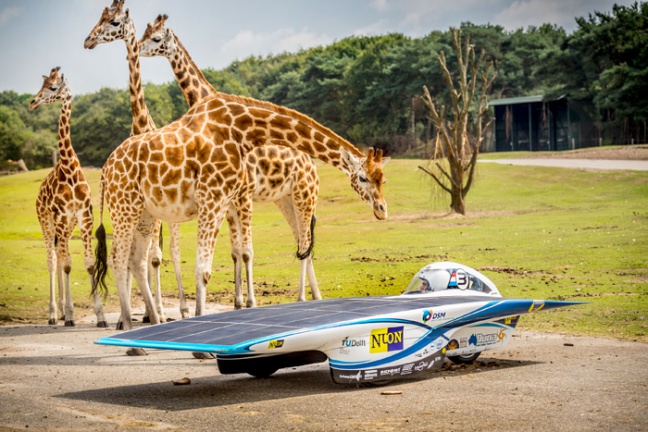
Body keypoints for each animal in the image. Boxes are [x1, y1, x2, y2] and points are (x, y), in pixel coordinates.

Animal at [29, 66, 107, 328]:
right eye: (41, 86)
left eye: (53, 87)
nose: (32, 102)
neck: (69, 170)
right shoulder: (62, 219)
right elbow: (67, 264)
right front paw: (71, 315)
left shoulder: (83, 218)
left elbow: (88, 264)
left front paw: (101, 316)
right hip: (46, 222)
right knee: (53, 260)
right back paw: (55, 314)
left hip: (66, 226)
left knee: (59, 256)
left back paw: (62, 311)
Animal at [139, 14, 326, 310]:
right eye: (145, 34)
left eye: (156, 38)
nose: (137, 48)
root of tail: (310, 163)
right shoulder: (228, 202)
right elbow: (235, 251)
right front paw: (238, 301)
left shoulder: (243, 195)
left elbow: (246, 251)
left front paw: (249, 302)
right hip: (284, 198)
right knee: (301, 239)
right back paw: (315, 295)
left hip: (304, 195)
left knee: (305, 242)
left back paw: (302, 296)